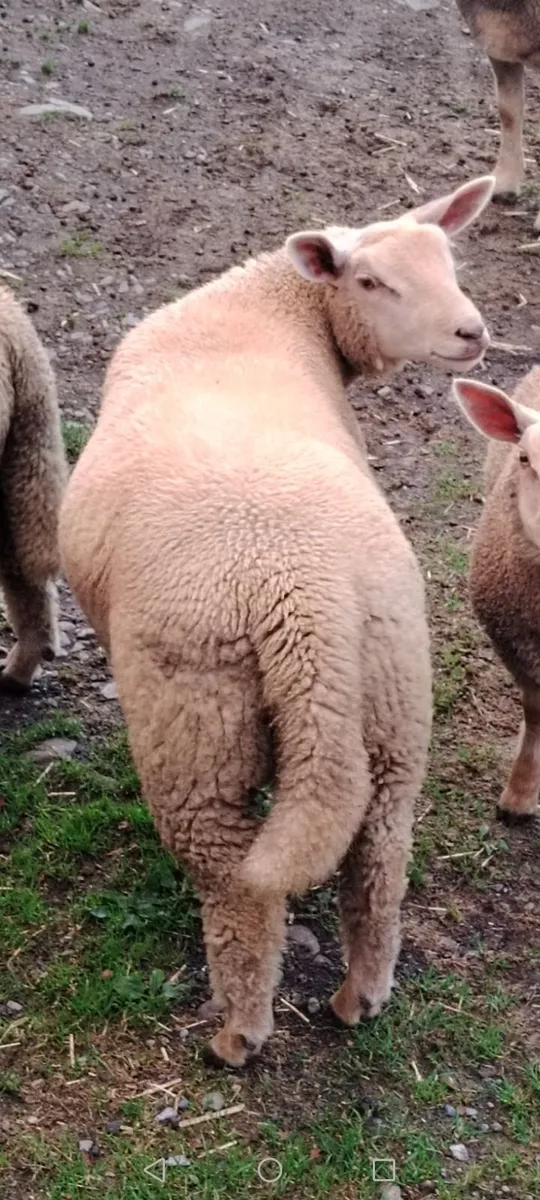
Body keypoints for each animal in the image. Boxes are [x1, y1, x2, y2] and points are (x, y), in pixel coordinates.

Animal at [59, 176, 493, 1068]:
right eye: (373, 282)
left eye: (450, 262)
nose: (472, 332)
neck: (270, 304)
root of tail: (306, 592)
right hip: (392, 697)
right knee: (378, 863)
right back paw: (361, 997)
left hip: (195, 721)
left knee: (237, 886)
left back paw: (237, 1033)